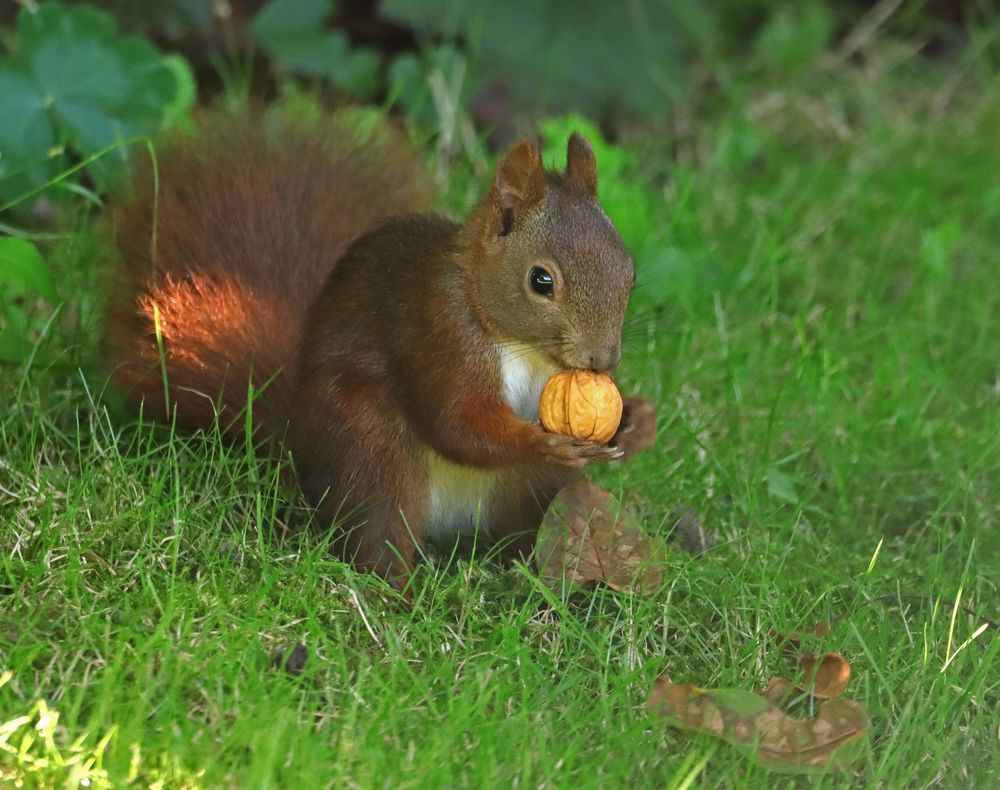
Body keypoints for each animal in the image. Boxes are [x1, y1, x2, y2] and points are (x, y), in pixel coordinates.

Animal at [103, 111, 648, 580]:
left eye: (629, 270)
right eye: (541, 280)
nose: (604, 359)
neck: (519, 344)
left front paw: (635, 420)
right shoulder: (437, 331)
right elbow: (456, 423)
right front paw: (544, 441)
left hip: (527, 492)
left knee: (518, 536)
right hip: (369, 448)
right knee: (378, 534)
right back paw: (399, 594)